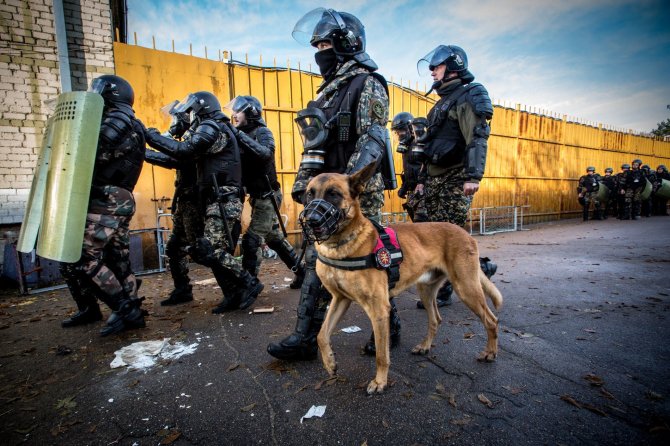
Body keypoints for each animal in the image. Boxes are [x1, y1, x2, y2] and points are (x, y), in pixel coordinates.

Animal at [302, 161, 506, 394]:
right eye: (309, 194)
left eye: (333, 194)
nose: (311, 221)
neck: (340, 244)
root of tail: (465, 233)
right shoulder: (340, 299)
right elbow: (321, 334)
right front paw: (330, 363)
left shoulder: (379, 310)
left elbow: (381, 354)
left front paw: (380, 382)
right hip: (426, 290)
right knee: (435, 319)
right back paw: (425, 346)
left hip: (466, 288)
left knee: (491, 320)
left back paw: (490, 352)